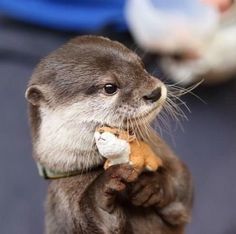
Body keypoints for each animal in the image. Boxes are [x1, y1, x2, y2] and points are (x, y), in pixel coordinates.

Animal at [24, 35, 193, 234]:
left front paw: (153, 184)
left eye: (141, 64)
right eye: (110, 87)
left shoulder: (163, 153)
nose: (154, 92)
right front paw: (103, 189)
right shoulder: (63, 204)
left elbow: (183, 183)